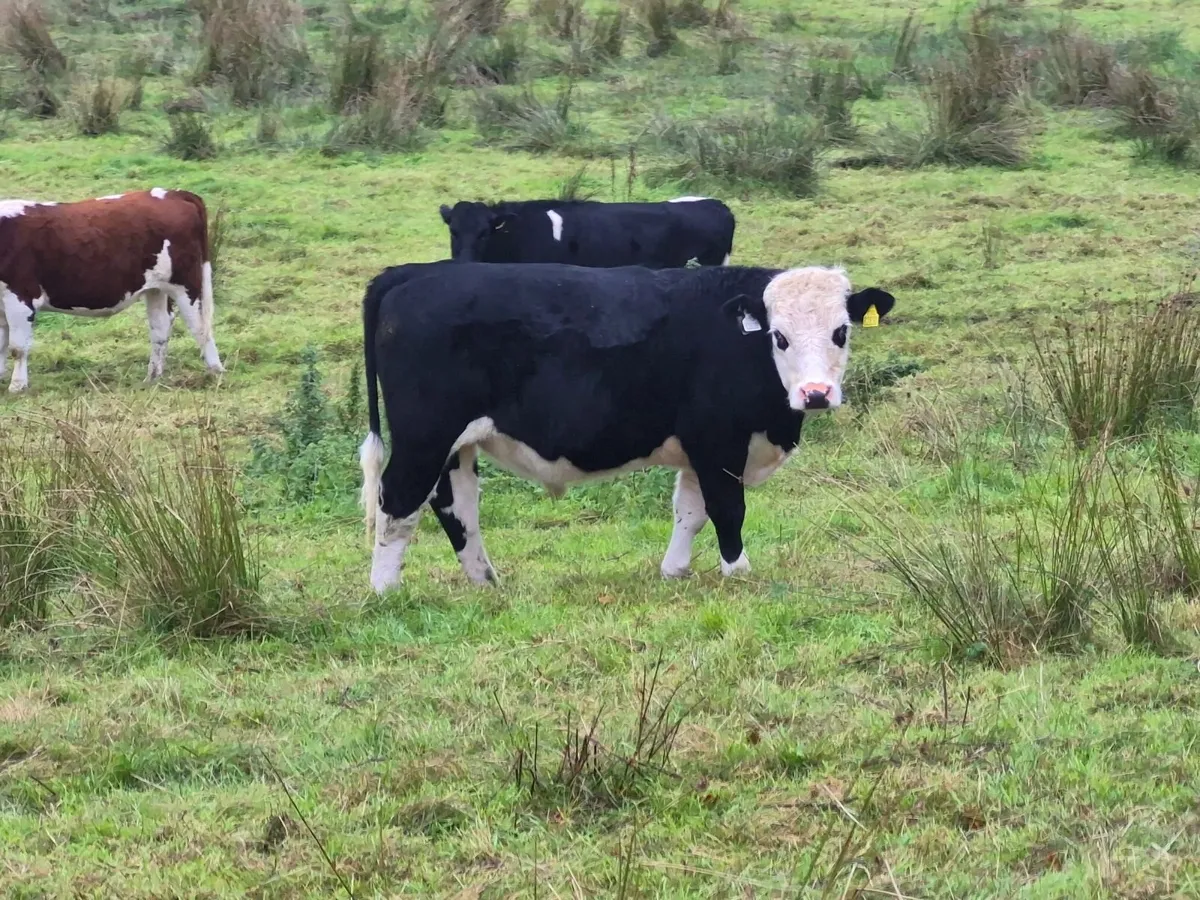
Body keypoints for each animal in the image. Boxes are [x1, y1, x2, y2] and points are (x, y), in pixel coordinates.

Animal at [0, 188, 224, 393]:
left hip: (185, 284)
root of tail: (173, 193)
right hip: (156, 288)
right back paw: (152, 377)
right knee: (160, 326)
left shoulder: (20, 296)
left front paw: (17, 387)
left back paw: (215, 373)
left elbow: (17, 348)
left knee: (200, 326)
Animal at [358, 260, 895, 592]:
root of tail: (414, 272)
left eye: (841, 332)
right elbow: (727, 508)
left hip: (456, 444)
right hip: (425, 434)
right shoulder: (718, 439)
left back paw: (487, 583)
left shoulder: (698, 448)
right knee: (398, 501)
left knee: (457, 505)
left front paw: (674, 570)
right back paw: (385, 590)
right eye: (779, 337)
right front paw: (738, 572)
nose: (815, 394)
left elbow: (690, 510)